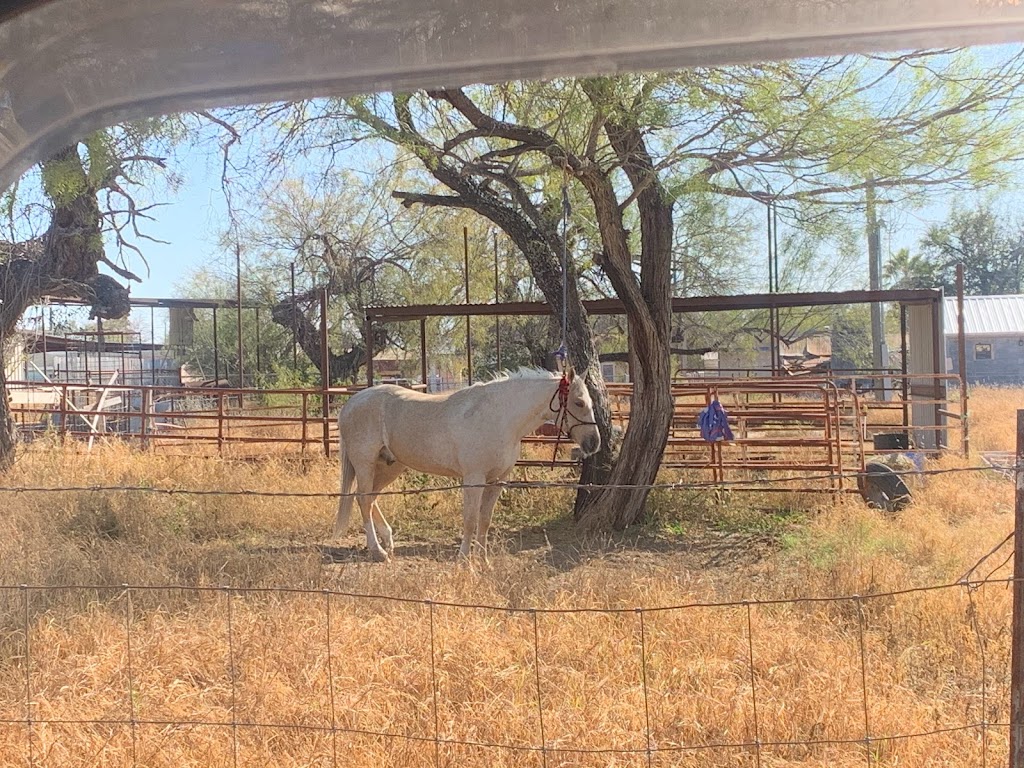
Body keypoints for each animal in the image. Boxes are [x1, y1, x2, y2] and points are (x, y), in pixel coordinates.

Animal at [333, 366, 598, 561]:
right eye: (579, 403)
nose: (594, 443)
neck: (499, 418)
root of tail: (350, 404)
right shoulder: (474, 479)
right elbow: (470, 519)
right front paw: (464, 559)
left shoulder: (497, 480)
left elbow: (485, 519)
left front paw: (483, 559)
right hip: (366, 463)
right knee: (363, 499)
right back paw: (378, 551)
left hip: (390, 466)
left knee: (370, 498)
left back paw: (388, 541)